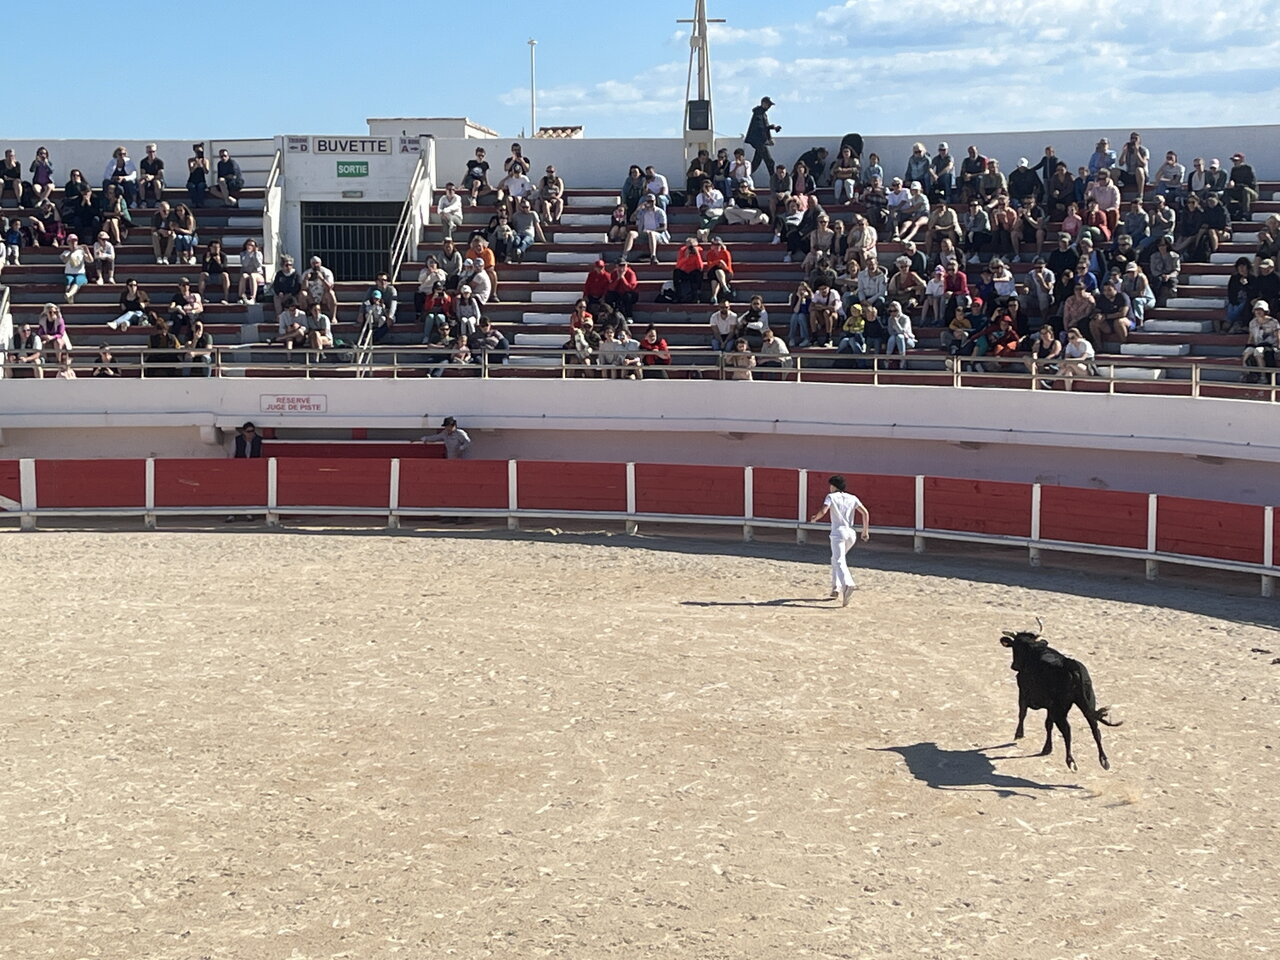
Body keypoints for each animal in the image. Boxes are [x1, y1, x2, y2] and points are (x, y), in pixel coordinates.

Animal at [998, 632, 1121, 773]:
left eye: (1015, 648)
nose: (1013, 666)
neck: (1032, 648)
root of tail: (1071, 665)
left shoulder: (1023, 692)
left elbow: (1023, 713)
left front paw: (1019, 734)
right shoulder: (1050, 706)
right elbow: (1048, 724)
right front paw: (1047, 748)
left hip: (1060, 710)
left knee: (1067, 730)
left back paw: (1071, 761)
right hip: (1088, 701)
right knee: (1095, 728)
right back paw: (1104, 760)